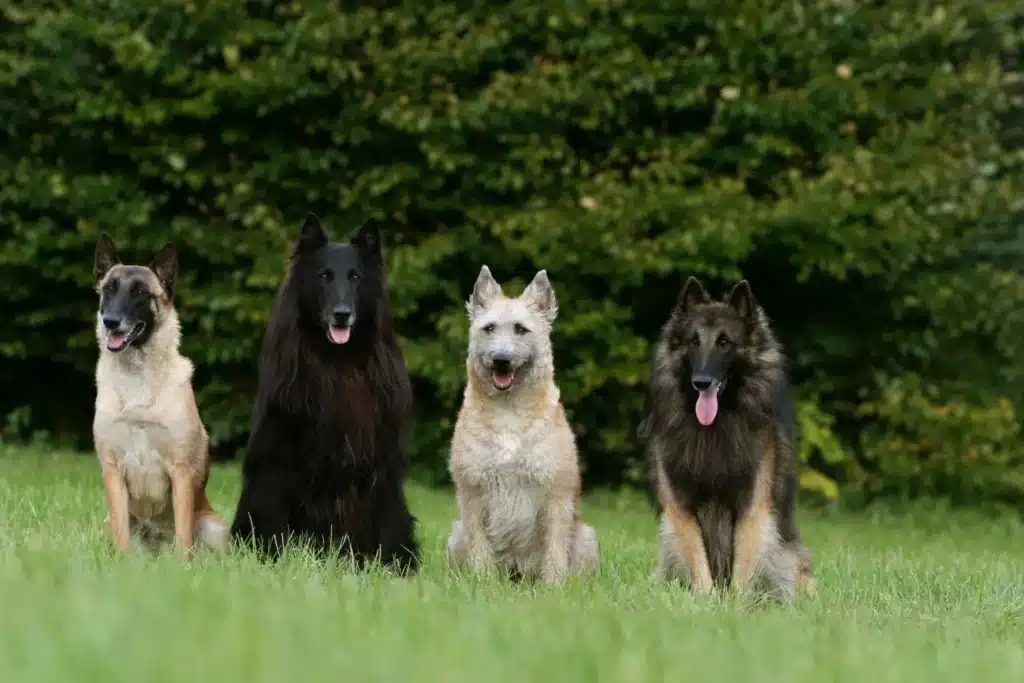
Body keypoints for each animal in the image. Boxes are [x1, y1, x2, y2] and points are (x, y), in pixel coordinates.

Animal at [91, 236, 227, 561]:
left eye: (141, 292)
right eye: (109, 288)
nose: (110, 321)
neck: (138, 377)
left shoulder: (181, 471)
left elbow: (183, 533)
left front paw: (182, 568)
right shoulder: (112, 471)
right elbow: (123, 535)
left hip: (215, 528)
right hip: (107, 523)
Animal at [232, 211, 419, 573]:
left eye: (355, 276)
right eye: (324, 276)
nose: (342, 314)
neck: (338, 362)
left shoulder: (381, 466)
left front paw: (387, 567)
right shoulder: (277, 460)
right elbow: (272, 515)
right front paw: (272, 560)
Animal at [444, 264, 598, 585]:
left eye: (521, 329)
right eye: (489, 328)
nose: (501, 360)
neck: (509, 411)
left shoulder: (556, 494)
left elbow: (555, 548)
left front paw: (553, 587)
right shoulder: (473, 493)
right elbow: (480, 545)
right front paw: (482, 582)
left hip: (587, 538)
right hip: (455, 535)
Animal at [638, 276, 815, 598]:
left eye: (725, 343)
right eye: (694, 341)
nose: (702, 382)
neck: (715, 427)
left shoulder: (753, 507)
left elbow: (743, 567)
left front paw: (734, 604)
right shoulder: (680, 508)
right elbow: (698, 561)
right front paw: (707, 601)